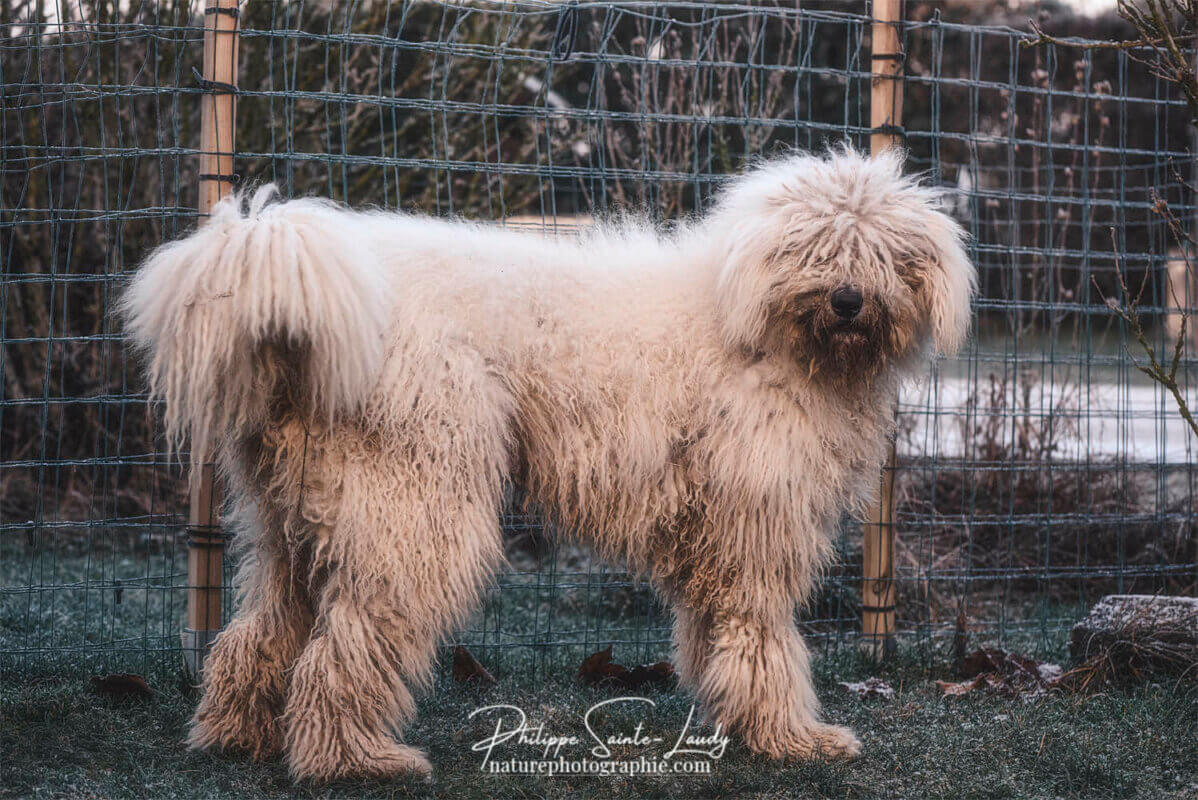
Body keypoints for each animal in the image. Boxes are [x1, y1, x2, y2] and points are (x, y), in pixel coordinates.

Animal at [123, 146, 972, 776]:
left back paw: (238, 734)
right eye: (817, 249)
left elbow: (714, 635)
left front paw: (738, 719)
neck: (757, 325)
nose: (848, 300)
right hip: (415, 505)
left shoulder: (719, 530)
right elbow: (762, 638)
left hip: (296, 516)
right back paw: (356, 758)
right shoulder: (756, 525)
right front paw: (791, 737)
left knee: (263, 632)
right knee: (350, 646)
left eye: (883, 255)